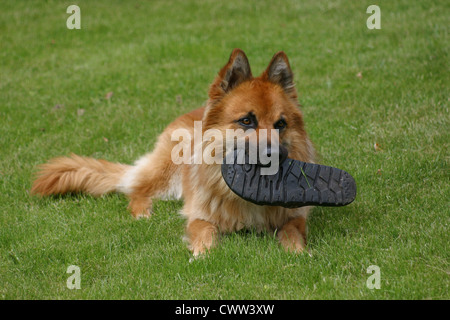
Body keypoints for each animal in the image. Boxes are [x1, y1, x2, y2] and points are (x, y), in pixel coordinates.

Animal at [31, 49, 316, 255]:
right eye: (247, 121)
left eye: (281, 124)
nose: (275, 155)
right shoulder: (199, 215)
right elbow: (205, 231)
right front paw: (203, 254)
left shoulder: (295, 215)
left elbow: (292, 230)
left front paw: (298, 253)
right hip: (168, 174)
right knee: (137, 190)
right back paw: (142, 212)